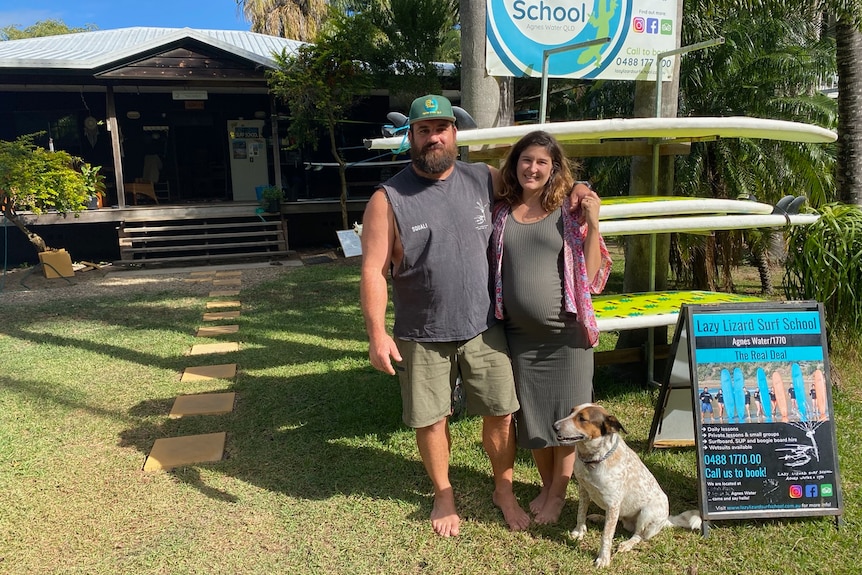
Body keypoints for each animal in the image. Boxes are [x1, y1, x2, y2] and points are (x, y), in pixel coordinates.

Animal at [552, 402, 704, 568]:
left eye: (582, 419)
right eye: (571, 412)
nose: (554, 426)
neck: (593, 460)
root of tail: (666, 520)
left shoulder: (613, 503)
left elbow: (606, 536)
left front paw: (603, 559)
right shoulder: (584, 490)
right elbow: (581, 514)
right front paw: (579, 532)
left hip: (647, 513)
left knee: (638, 535)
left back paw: (627, 544)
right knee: (618, 521)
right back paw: (599, 517)